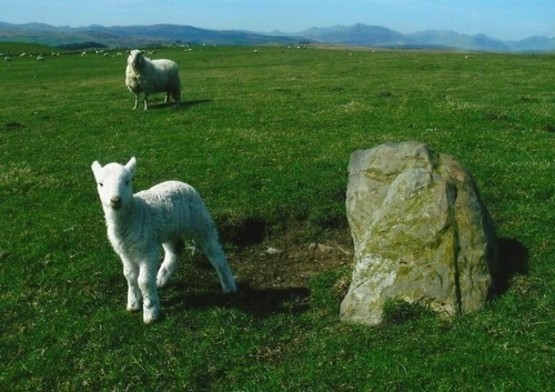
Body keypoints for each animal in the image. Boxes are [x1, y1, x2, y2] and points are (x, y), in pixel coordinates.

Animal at [90, 157, 237, 324]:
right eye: (100, 184)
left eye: (127, 181)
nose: (115, 200)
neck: (135, 214)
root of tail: (181, 183)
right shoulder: (124, 251)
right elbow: (129, 275)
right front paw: (133, 303)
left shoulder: (148, 249)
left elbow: (143, 281)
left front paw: (150, 311)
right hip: (169, 231)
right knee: (175, 252)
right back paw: (160, 279)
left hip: (200, 222)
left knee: (216, 254)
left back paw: (229, 286)